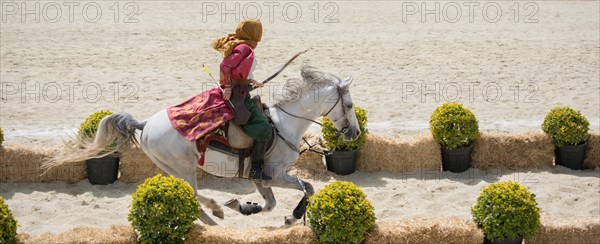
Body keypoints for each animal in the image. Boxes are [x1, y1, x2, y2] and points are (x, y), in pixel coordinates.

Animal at [45, 66, 360, 226]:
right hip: (184, 167)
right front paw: (292, 217)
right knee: (194, 194)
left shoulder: (259, 179)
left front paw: (247, 208)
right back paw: (215, 212)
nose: (355, 132)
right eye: (348, 105)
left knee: (191, 196)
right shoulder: (277, 175)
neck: (285, 124)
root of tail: (145, 124)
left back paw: (213, 216)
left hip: (172, 168)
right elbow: (308, 188)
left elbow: (270, 204)